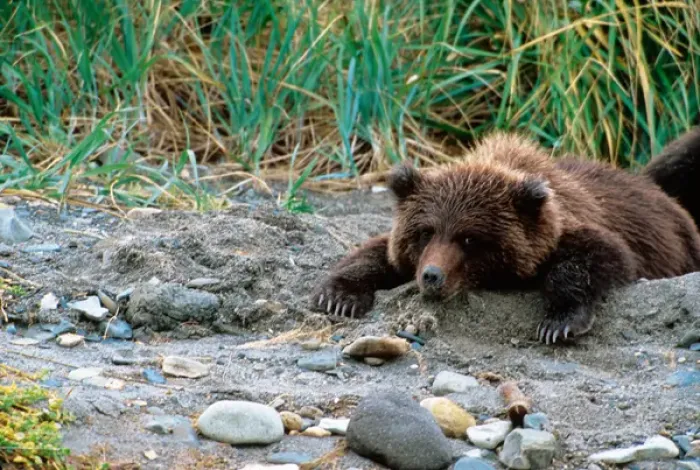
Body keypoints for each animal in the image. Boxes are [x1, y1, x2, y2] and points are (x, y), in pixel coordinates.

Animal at [311, 131, 700, 345]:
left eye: (470, 239)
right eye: (425, 232)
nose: (432, 276)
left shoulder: (572, 226)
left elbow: (597, 256)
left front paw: (560, 322)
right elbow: (377, 252)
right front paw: (339, 296)